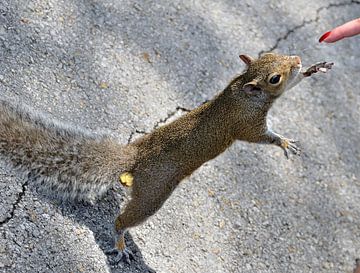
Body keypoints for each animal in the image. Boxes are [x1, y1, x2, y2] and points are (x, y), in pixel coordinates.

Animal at [0, 52, 332, 262]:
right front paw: (283, 142)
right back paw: (120, 243)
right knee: (124, 220)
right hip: (154, 192)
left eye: (277, 53)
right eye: (274, 78)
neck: (243, 89)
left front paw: (312, 69)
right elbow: (260, 137)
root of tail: (136, 154)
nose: (297, 60)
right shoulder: (246, 124)